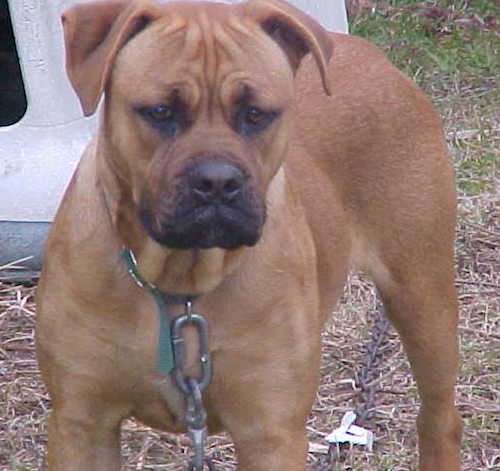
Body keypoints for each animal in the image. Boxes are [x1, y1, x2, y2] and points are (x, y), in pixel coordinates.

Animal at [37, 0, 462, 471]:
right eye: (160, 112)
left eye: (256, 114)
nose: (217, 182)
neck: (179, 284)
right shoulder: (82, 423)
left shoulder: (270, 432)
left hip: (422, 299)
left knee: (440, 416)